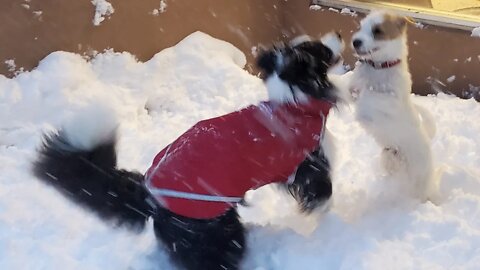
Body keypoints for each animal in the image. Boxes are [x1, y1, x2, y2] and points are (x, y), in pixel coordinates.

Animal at [33, 32, 344, 270]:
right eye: (322, 49)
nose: (339, 35)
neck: (295, 101)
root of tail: (150, 197)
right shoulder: (310, 170)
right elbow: (322, 197)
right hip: (216, 230)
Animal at [348, 10, 438, 200]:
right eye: (360, 27)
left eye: (377, 31)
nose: (355, 41)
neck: (379, 67)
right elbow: (352, 87)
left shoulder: (393, 101)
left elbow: (371, 95)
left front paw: (363, 104)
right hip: (389, 161)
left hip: (419, 179)